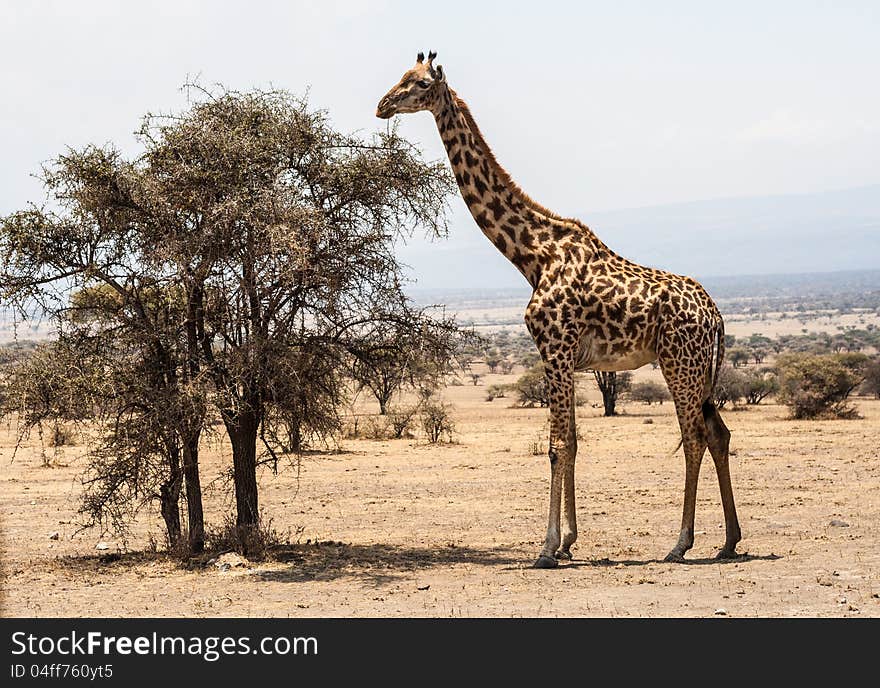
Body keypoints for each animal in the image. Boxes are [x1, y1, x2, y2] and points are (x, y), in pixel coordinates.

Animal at [374, 52, 740, 568]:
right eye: (401, 76)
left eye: (421, 83)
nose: (382, 105)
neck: (532, 253)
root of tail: (716, 316)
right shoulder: (565, 357)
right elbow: (573, 443)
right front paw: (568, 540)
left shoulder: (555, 349)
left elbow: (556, 445)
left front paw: (547, 547)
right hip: (698, 369)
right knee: (719, 434)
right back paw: (730, 540)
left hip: (678, 362)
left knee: (694, 438)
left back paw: (681, 543)